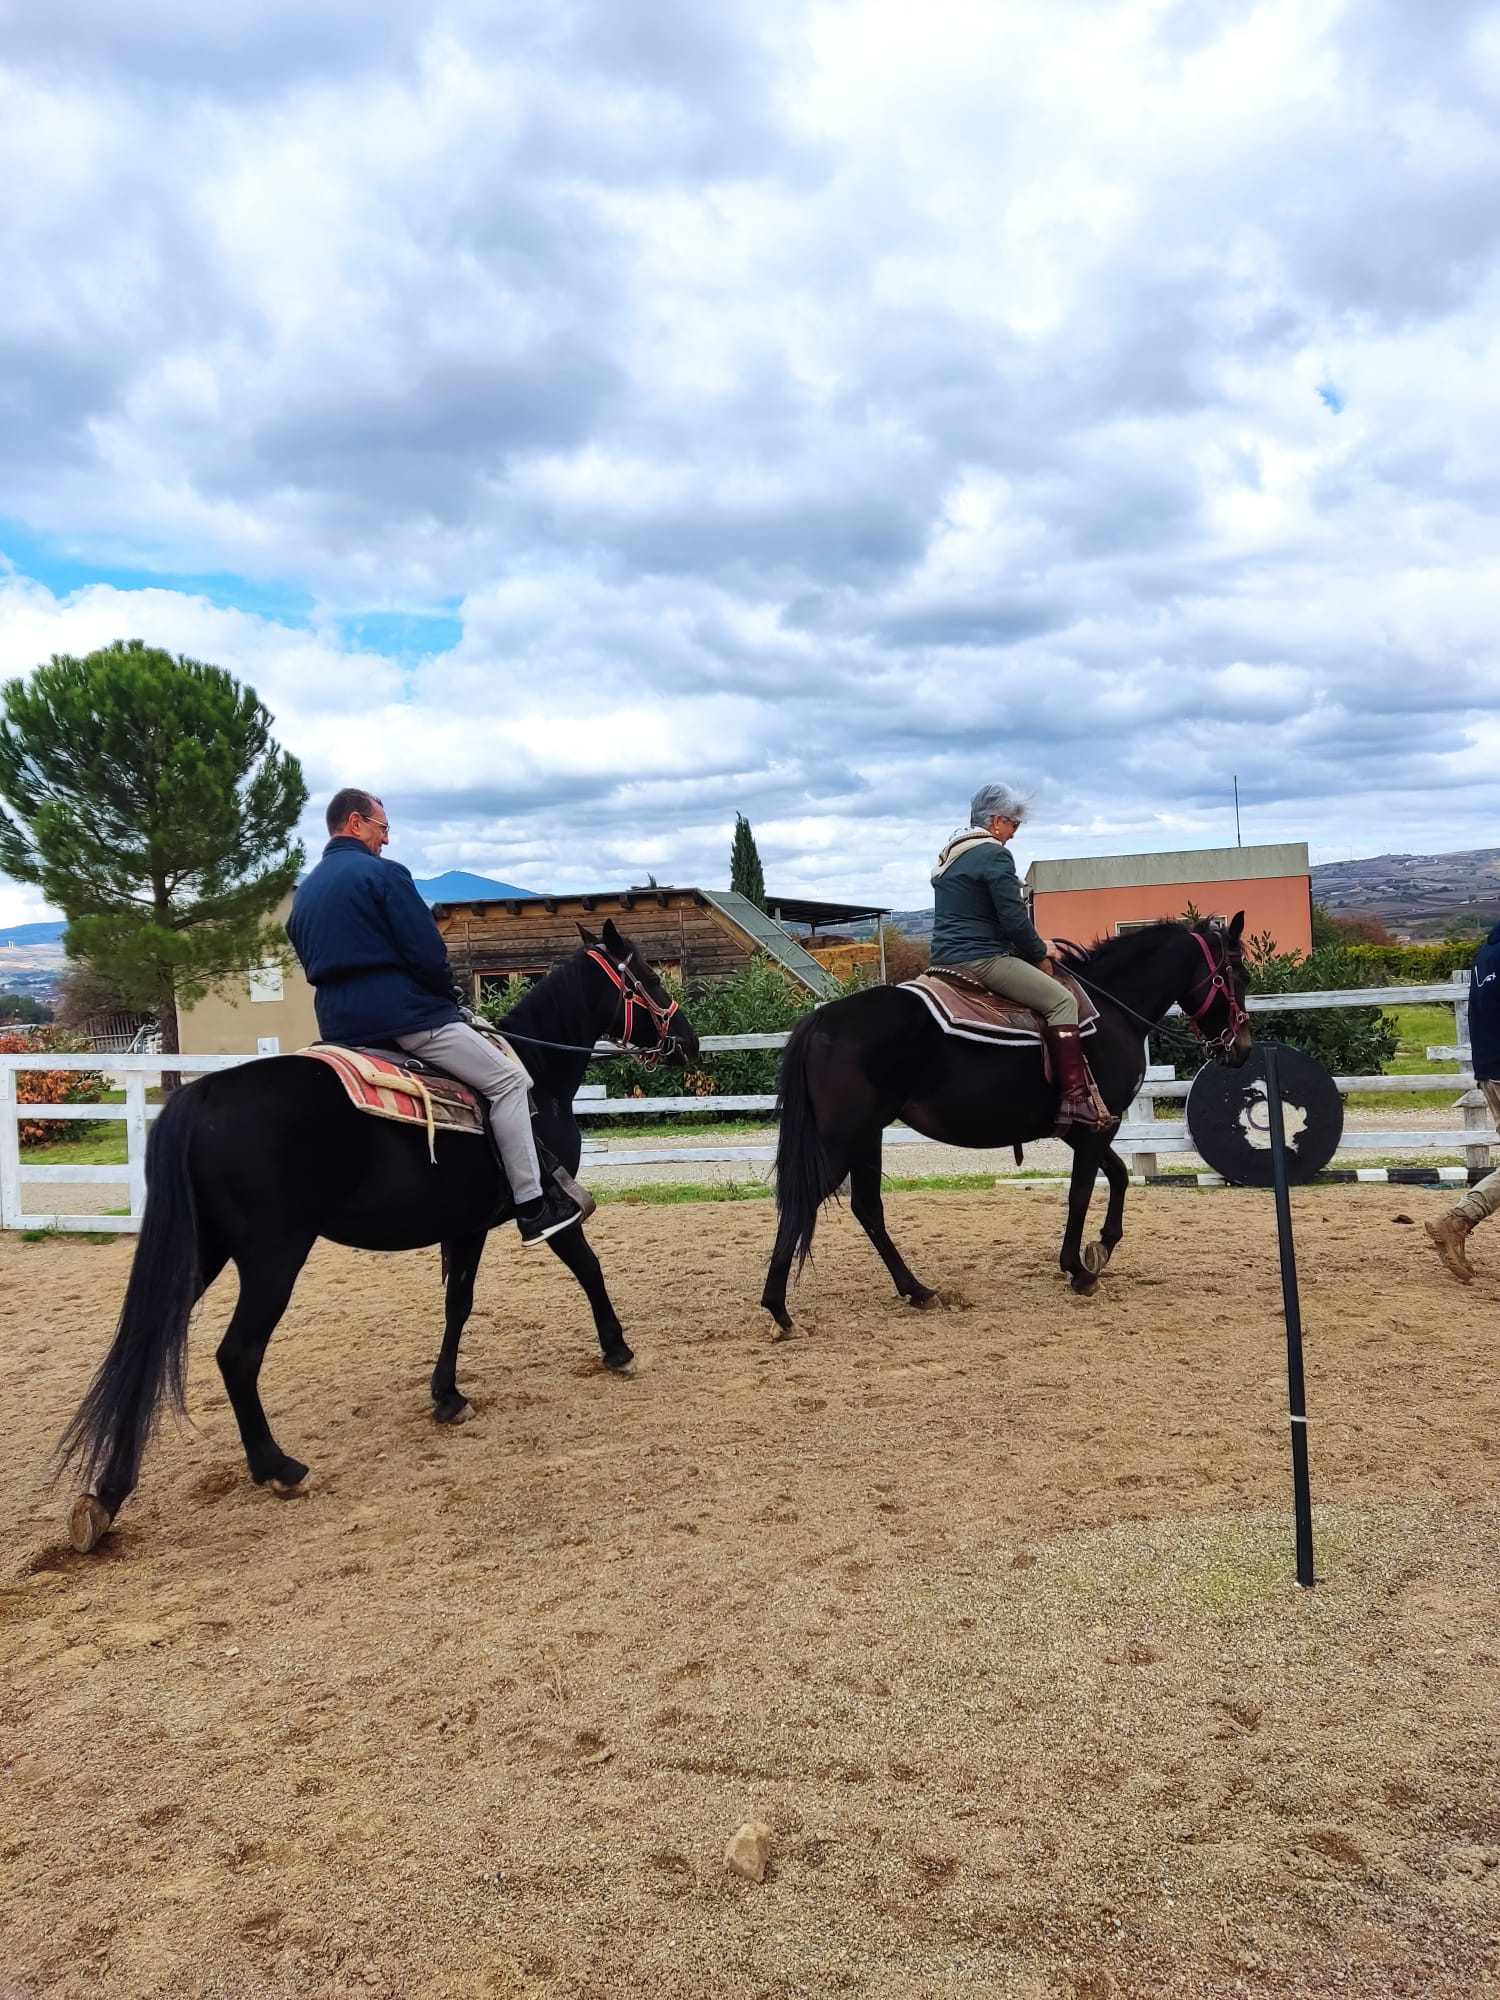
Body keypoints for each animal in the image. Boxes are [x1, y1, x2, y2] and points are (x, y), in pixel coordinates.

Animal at [60, 920, 697, 1552]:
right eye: (647, 974)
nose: (688, 1041)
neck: (537, 1076)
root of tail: (200, 1096)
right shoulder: (546, 1206)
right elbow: (586, 1267)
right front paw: (618, 1349)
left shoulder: (464, 1228)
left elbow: (458, 1304)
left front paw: (447, 1396)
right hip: (272, 1258)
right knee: (236, 1354)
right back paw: (277, 1467)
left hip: (202, 1254)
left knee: (143, 1346)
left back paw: (106, 1495)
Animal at [760, 915, 1252, 1332]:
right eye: (1238, 975)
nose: (1241, 1048)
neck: (1112, 1009)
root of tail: (823, 1016)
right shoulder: (1097, 1127)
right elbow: (1082, 1191)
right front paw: (1077, 1269)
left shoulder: (1082, 1129)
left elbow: (1117, 1176)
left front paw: (1101, 1247)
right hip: (843, 1141)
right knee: (803, 1205)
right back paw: (779, 1309)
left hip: (865, 1140)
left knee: (867, 1209)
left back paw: (916, 1291)